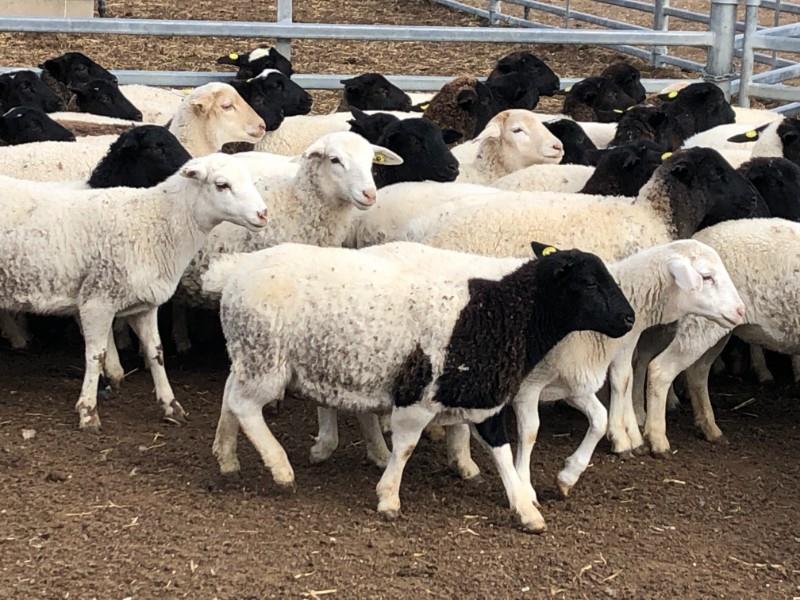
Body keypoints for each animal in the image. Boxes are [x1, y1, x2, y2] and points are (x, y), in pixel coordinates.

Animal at [0, 153, 267, 430]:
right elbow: (95, 356)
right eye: (221, 185)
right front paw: (88, 411)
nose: (263, 214)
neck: (155, 222)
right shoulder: (97, 301)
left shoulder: (145, 306)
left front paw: (171, 406)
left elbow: (156, 353)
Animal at [203, 241, 634, 531]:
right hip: (265, 360)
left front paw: (526, 510)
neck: (500, 314)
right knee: (245, 406)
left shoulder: (483, 398)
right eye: (590, 283)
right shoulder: (418, 396)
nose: (629, 319)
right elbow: (407, 446)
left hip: (250, 353)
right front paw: (389, 497)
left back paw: (227, 456)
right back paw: (280, 470)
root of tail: (235, 271)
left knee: (230, 394)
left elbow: (502, 451)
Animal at [638, 218, 800, 457]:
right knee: (661, 369)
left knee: (697, 371)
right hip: (700, 321)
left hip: (716, 325)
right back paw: (658, 440)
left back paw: (710, 428)